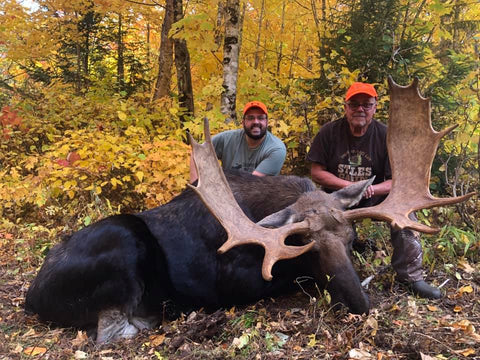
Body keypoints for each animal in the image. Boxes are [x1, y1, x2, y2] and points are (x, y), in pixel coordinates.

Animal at [23, 78, 472, 344]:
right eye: (306, 246)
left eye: (348, 237)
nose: (361, 305)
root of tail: (31, 297)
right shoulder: (229, 279)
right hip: (121, 239)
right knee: (111, 329)